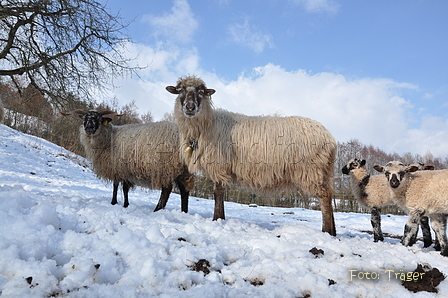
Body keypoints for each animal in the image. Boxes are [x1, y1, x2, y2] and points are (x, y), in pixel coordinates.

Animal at [60, 109, 193, 212]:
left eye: (98, 119)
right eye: (85, 119)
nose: (89, 128)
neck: (109, 138)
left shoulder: (118, 167)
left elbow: (116, 186)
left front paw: (114, 202)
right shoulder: (124, 170)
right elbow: (124, 188)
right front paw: (125, 205)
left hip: (165, 167)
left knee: (167, 190)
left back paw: (157, 210)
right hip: (184, 170)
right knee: (184, 191)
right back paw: (183, 211)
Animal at [167, 74, 336, 235]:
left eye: (201, 92)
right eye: (180, 90)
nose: (190, 107)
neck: (207, 125)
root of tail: (330, 138)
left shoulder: (220, 165)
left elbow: (218, 192)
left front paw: (217, 219)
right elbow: (220, 192)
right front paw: (221, 218)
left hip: (311, 171)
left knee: (324, 196)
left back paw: (327, 231)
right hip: (323, 172)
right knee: (329, 194)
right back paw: (333, 231)